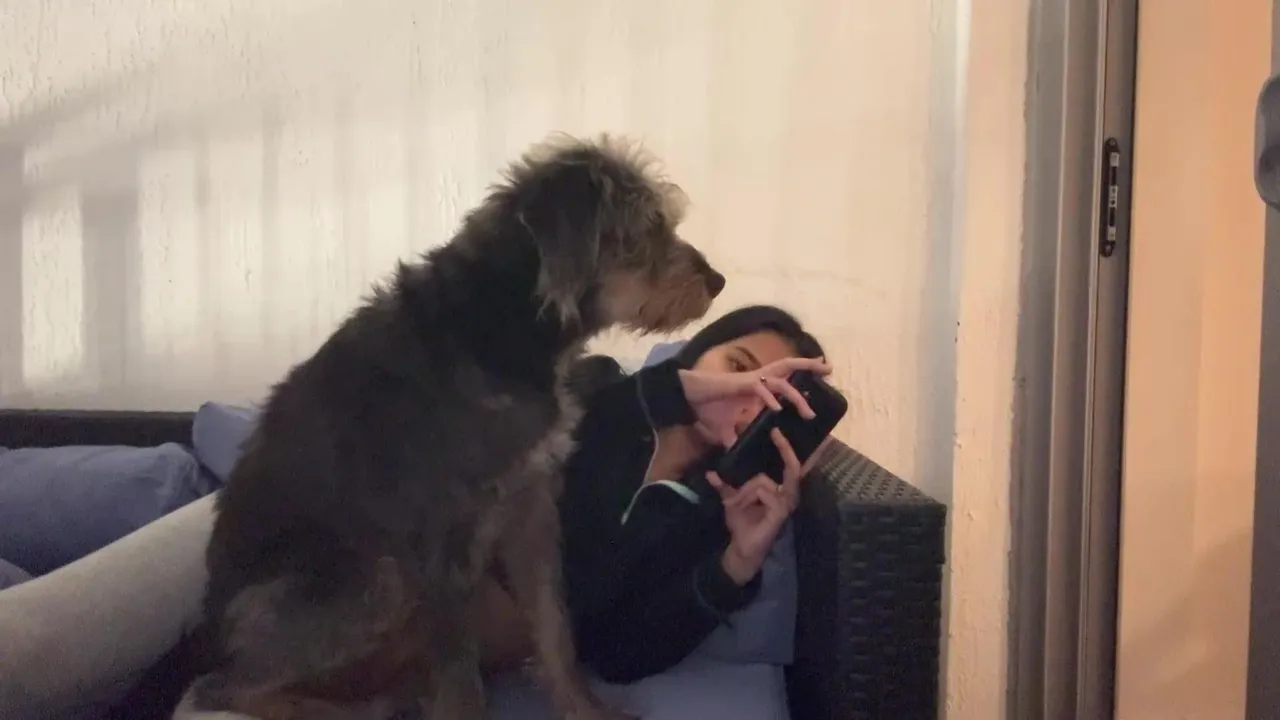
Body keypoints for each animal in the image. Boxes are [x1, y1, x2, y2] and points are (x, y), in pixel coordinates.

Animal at [181, 134, 725, 720]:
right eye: (646, 227)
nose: (717, 282)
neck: (509, 319)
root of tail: (209, 630)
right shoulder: (442, 543)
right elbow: (463, 683)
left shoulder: (531, 506)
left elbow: (554, 626)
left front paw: (583, 708)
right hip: (376, 578)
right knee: (220, 690)